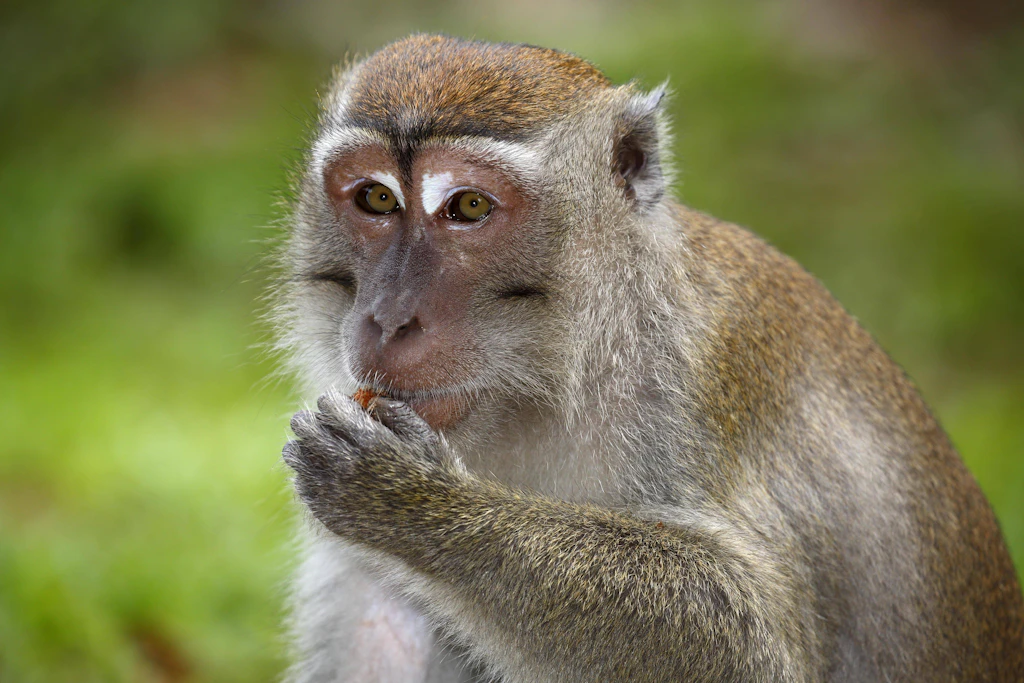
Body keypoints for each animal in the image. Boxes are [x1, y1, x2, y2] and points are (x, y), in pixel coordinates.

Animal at [275, 34, 1024, 682]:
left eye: (468, 206)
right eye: (376, 197)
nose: (388, 317)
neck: (564, 373)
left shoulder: (686, 398)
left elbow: (752, 646)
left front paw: (416, 501)